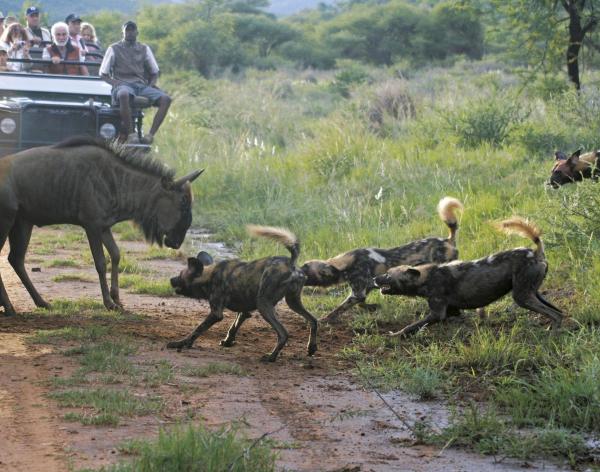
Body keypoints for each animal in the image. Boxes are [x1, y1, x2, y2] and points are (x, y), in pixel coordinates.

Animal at [166, 225, 316, 362]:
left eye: (180, 275)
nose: (171, 279)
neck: (208, 276)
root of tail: (291, 263)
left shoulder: (216, 314)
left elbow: (197, 330)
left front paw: (181, 343)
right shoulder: (245, 311)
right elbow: (233, 327)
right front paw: (227, 342)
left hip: (263, 305)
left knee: (283, 333)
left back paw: (271, 357)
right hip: (292, 302)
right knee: (313, 320)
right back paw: (311, 348)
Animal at [300, 196, 464, 324]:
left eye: (305, 270)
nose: (295, 271)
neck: (344, 265)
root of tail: (448, 240)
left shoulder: (357, 293)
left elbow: (339, 309)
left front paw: (325, 319)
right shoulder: (364, 290)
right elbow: (362, 304)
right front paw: (373, 307)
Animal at [376, 218, 564, 336]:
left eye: (387, 274)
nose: (374, 279)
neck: (427, 278)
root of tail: (535, 253)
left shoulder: (437, 313)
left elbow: (411, 326)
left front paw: (395, 334)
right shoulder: (452, 310)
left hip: (522, 297)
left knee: (554, 314)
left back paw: (552, 335)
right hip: (532, 293)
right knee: (559, 312)